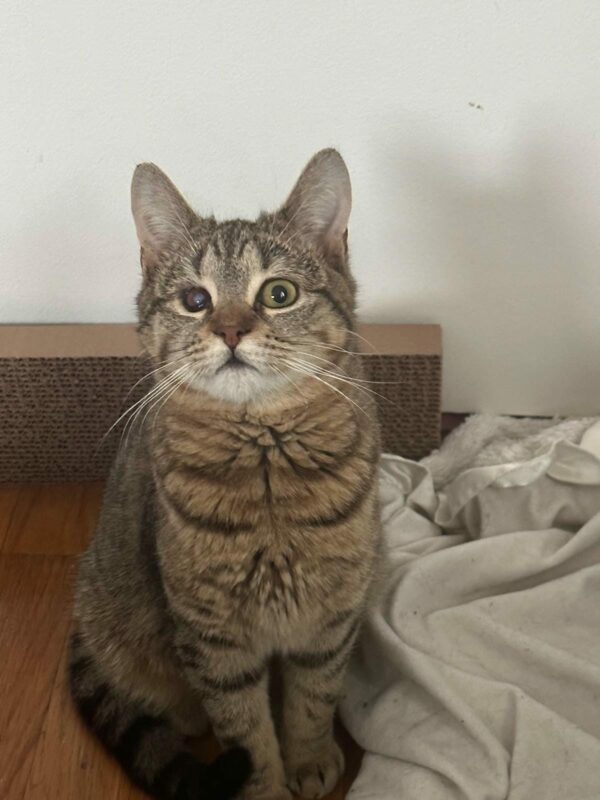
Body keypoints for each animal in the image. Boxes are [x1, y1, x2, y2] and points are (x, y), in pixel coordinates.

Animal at [69, 150, 380, 800]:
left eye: (279, 293)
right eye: (195, 300)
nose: (231, 330)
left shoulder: (330, 620)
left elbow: (314, 699)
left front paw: (309, 758)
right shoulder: (212, 639)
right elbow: (244, 730)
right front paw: (264, 787)